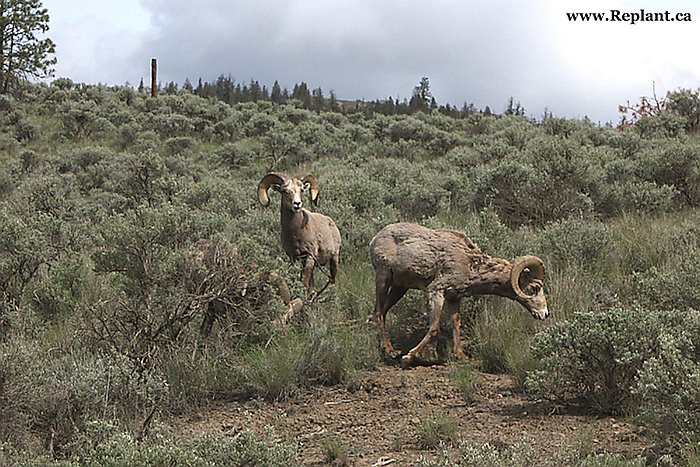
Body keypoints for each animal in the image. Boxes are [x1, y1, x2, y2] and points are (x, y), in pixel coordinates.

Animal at [370, 223, 548, 370]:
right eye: (535, 287)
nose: (544, 314)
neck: (470, 265)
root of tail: (377, 237)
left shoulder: (453, 298)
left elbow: (456, 324)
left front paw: (461, 356)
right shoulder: (436, 291)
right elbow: (434, 328)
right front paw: (407, 358)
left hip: (399, 288)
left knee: (382, 313)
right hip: (383, 277)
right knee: (378, 312)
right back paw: (391, 352)